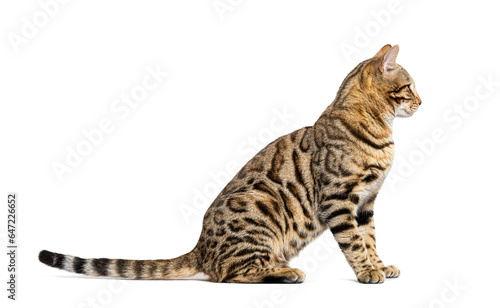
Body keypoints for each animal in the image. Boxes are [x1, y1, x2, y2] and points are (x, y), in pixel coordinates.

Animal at [40, 44, 422, 284]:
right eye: (409, 86)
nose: (422, 101)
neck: (379, 129)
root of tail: (200, 248)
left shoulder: (366, 202)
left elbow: (370, 238)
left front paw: (379, 265)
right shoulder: (339, 199)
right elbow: (355, 242)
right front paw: (367, 272)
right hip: (262, 203)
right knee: (229, 273)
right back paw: (284, 272)